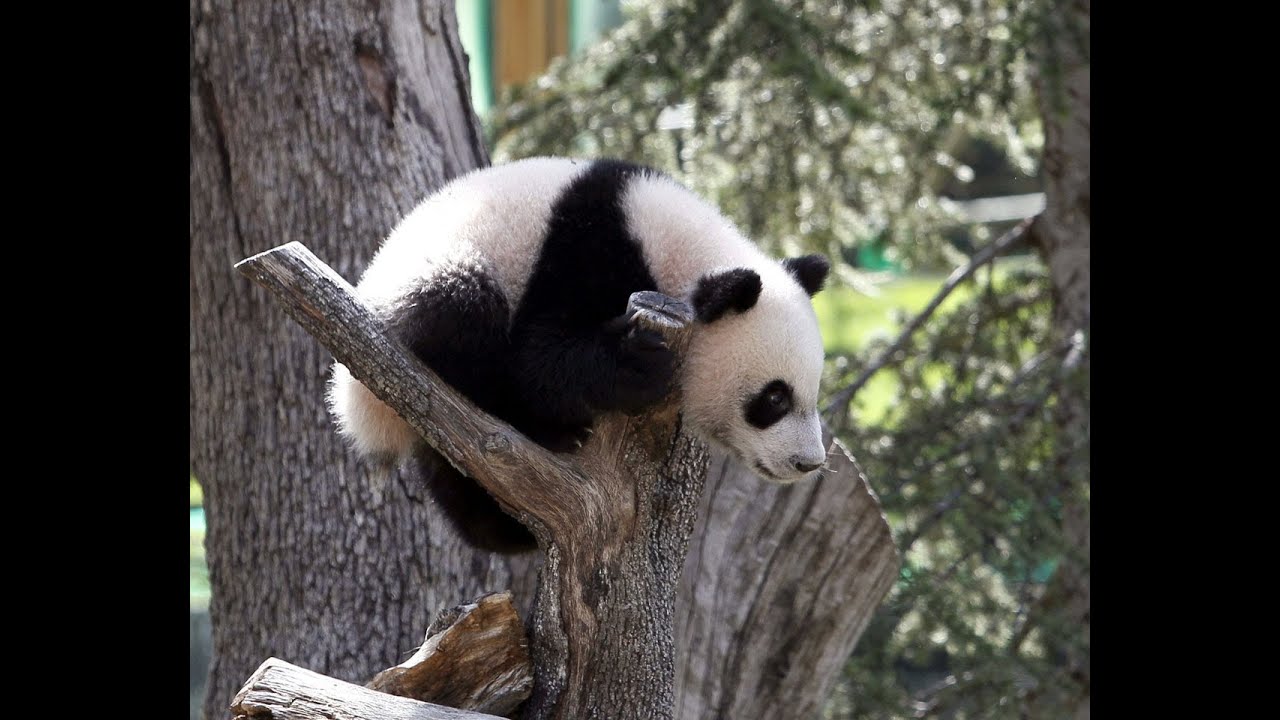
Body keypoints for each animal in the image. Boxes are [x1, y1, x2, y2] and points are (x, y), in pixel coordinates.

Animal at [328, 157, 831, 553]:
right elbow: (538, 355)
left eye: (812, 392)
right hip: (436, 280)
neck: (684, 252)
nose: (808, 462)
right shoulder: (584, 251)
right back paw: (545, 431)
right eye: (774, 399)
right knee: (461, 314)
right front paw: (635, 366)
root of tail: (352, 405)